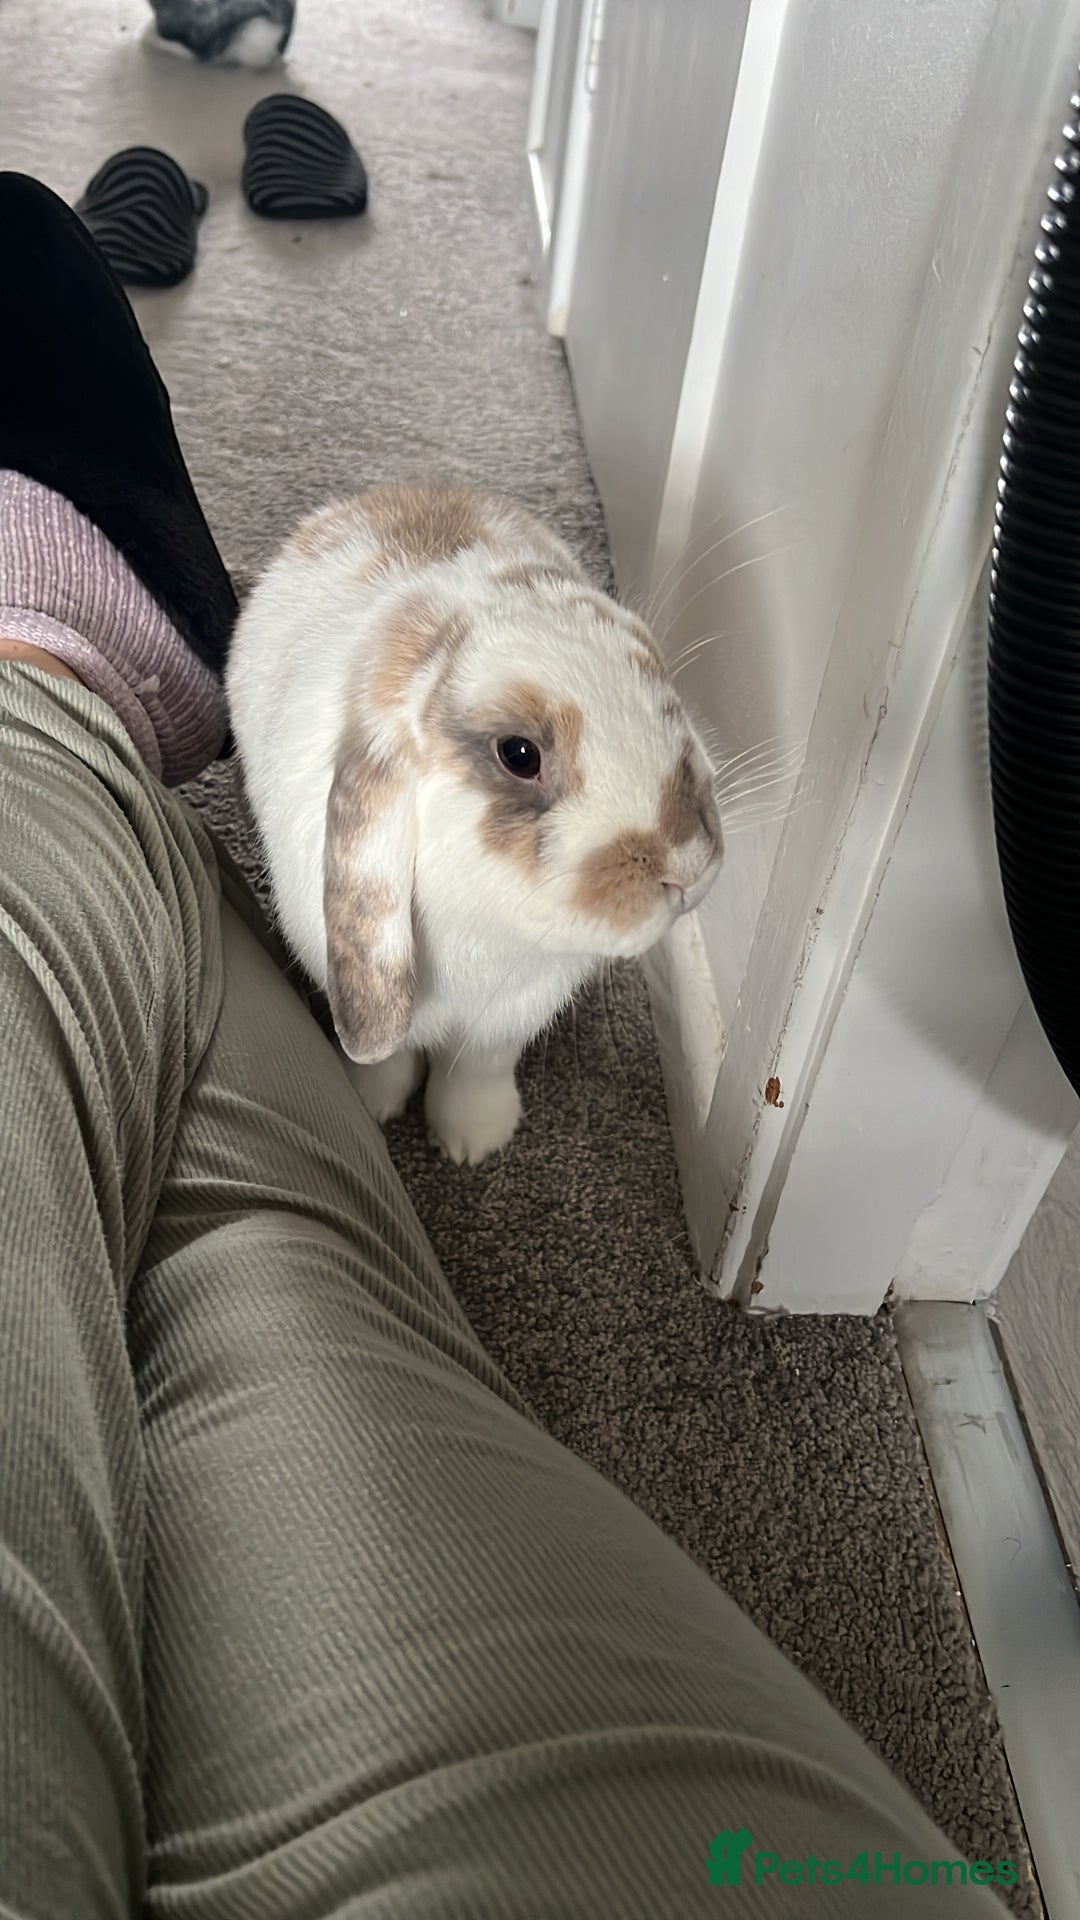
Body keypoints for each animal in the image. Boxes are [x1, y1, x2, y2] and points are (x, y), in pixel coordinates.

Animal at [225, 485, 722, 1163]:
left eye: (658, 682)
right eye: (519, 754)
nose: (689, 867)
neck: (485, 928)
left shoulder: (504, 1016)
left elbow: (477, 1067)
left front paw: (472, 1142)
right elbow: (388, 1055)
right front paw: (373, 1104)